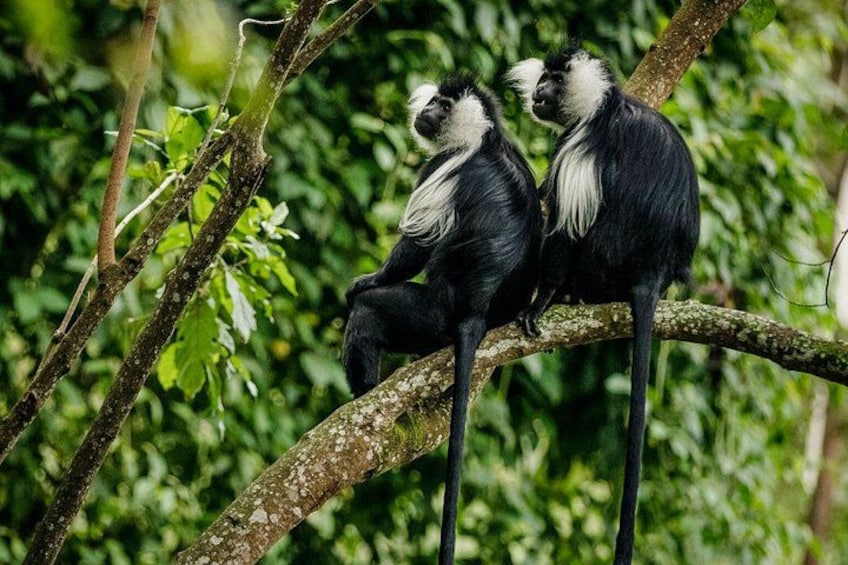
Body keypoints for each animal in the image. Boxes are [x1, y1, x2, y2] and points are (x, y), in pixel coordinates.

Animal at [344, 74, 543, 564]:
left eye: (443, 105)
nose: (427, 109)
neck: (483, 138)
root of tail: (475, 311)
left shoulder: (441, 167)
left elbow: (415, 245)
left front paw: (367, 279)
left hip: (428, 314)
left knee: (371, 313)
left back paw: (363, 393)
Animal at [508, 47, 700, 565]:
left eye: (554, 81)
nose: (538, 93)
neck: (601, 106)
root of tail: (653, 269)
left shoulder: (580, 146)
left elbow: (565, 228)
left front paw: (540, 302)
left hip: (603, 259)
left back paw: (565, 295)